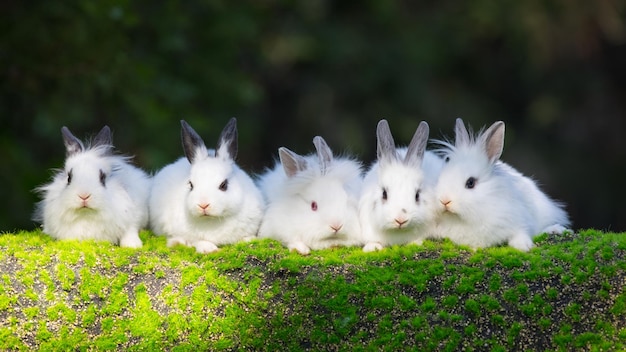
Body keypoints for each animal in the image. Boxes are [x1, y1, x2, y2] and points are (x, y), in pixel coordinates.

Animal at [149, 118, 264, 253]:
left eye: (223, 185)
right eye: (191, 185)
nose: (203, 205)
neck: (211, 220)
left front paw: (249, 240)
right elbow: (198, 241)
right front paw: (208, 249)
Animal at [428, 119, 572, 252]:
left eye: (470, 183)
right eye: (440, 177)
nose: (444, 201)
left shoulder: (517, 219)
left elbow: (521, 232)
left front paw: (523, 246)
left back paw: (556, 230)